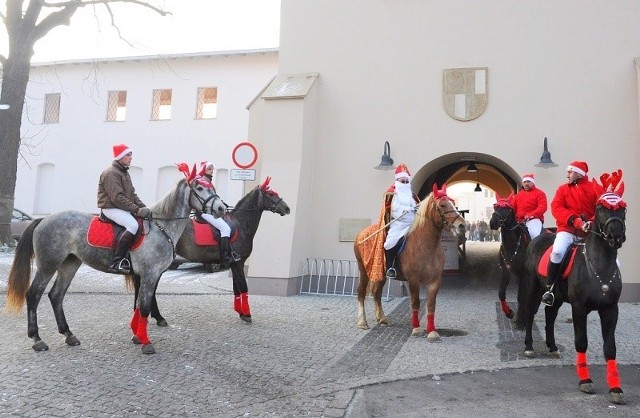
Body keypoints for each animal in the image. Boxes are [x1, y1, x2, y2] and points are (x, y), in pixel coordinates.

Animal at [3, 162, 225, 352]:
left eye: (211, 185)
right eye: (199, 187)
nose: (221, 208)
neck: (161, 227)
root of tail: (43, 220)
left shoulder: (147, 275)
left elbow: (139, 305)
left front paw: (137, 336)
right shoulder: (150, 274)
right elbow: (144, 306)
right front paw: (146, 343)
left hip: (69, 264)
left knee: (56, 296)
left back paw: (69, 335)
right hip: (48, 264)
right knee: (34, 295)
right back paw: (37, 339)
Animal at [356, 183, 464, 340]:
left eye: (454, 203)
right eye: (442, 205)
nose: (462, 225)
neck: (426, 246)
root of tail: (360, 234)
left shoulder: (435, 281)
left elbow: (431, 305)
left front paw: (432, 332)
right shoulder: (413, 280)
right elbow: (415, 303)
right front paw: (417, 328)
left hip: (381, 274)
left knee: (376, 292)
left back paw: (382, 319)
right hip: (364, 271)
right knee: (361, 292)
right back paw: (362, 322)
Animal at [490, 193, 528, 324]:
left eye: (507, 208)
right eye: (495, 206)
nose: (493, 222)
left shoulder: (522, 273)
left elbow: (521, 296)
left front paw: (519, 318)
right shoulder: (506, 270)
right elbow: (501, 292)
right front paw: (509, 312)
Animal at [516, 171, 628, 404]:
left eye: (623, 208)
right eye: (601, 207)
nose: (616, 236)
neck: (599, 266)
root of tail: (537, 238)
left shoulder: (611, 309)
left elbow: (610, 347)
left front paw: (616, 388)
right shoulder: (579, 308)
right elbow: (581, 341)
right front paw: (585, 381)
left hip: (557, 296)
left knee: (550, 315)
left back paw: (552, 346)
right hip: (533, 287)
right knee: (530, 313)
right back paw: (529, 346)